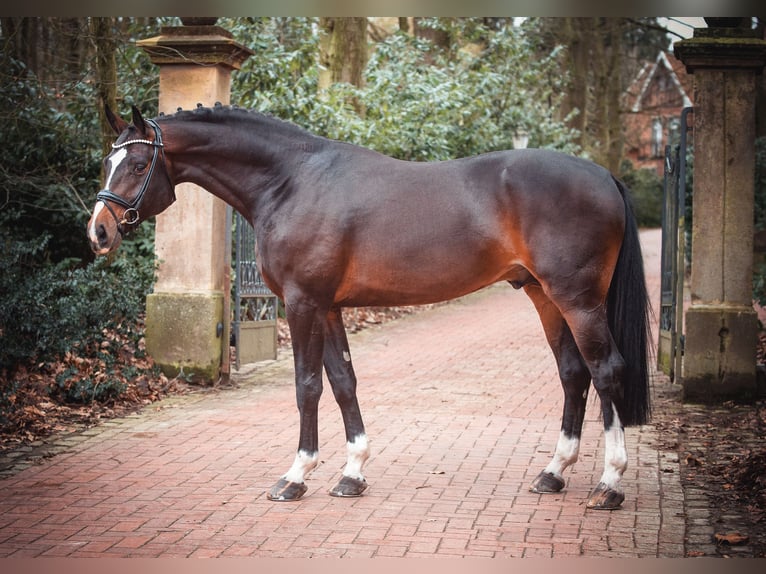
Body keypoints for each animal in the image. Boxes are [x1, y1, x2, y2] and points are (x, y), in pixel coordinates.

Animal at [87, 104, 652, 512]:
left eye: (137, 164)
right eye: (106, 162)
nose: (99, 232)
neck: (290, 182)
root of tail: (603, 174)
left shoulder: (303, 303)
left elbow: (307, 386)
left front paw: (296, 477)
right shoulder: (329, 307)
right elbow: (342, 381)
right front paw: (352, 473)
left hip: (578, 300)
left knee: (605, 370)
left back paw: (610, 485)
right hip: (543, 296)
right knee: (573, 373)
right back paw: (553, 473)